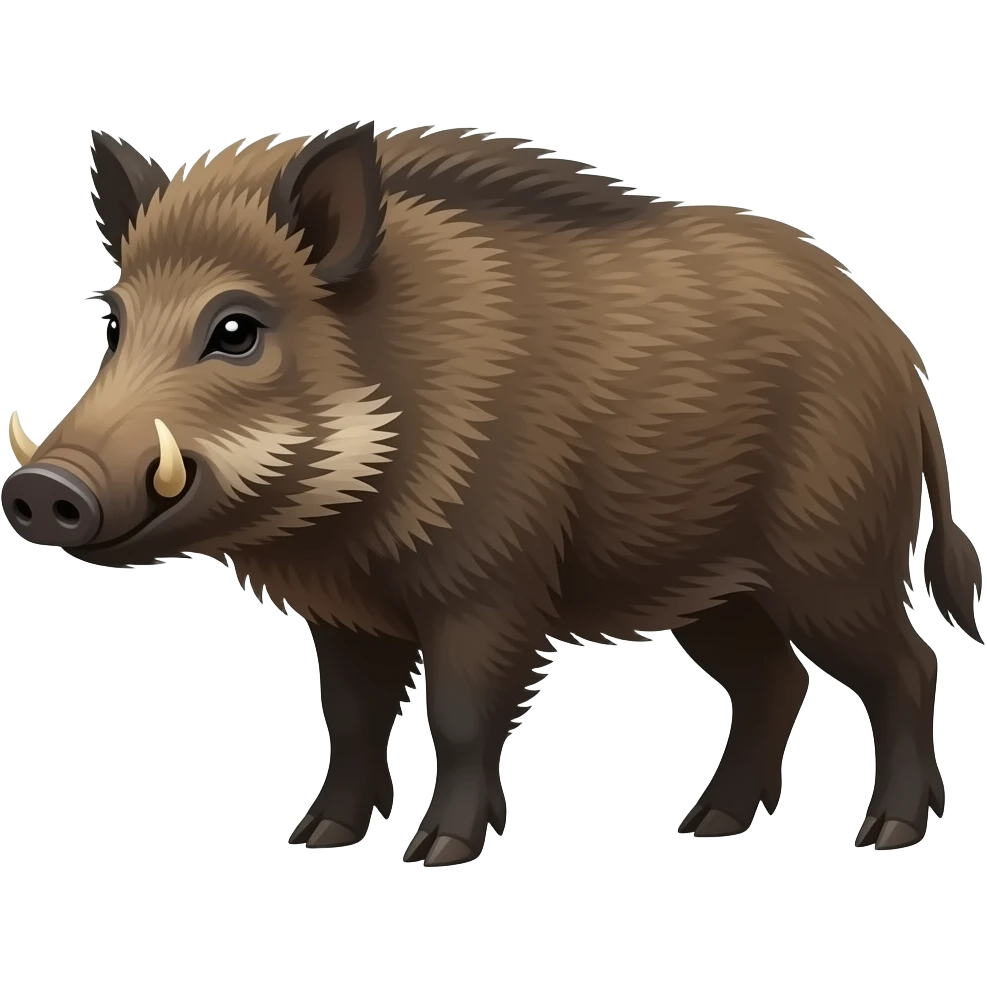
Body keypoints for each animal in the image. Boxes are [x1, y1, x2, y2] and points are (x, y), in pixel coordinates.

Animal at [2, 123, 982, 865]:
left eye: (236, 328)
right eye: (114, 323)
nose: (41, 488)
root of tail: (901, 356)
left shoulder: (489, 585)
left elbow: (462, 715)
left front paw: (438, 853)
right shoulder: (347, 616)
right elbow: (350, 720)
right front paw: (316, 838)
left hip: (833, 559)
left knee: (906, 667)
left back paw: (885, 834)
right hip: (716, 591)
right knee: (775, 681)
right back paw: (704, 826)